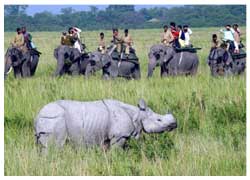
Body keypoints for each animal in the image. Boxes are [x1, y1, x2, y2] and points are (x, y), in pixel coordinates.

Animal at [34, 98, 177, 153]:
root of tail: (38, 115)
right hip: (54, 119)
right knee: (54, 147)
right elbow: (117, 151)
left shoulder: (108, 136)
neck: (137, 114)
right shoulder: (119, 136)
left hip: (47, 119)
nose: (175, 124)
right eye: (159, 120)